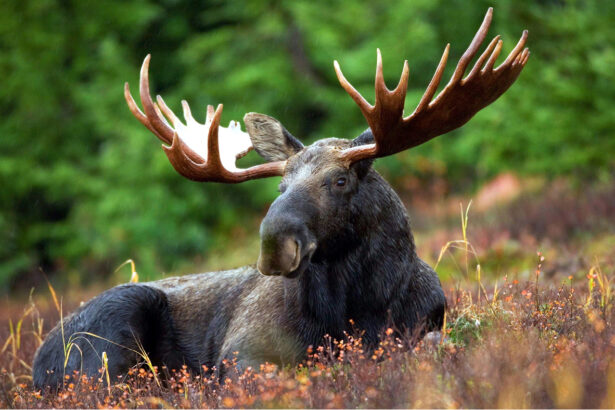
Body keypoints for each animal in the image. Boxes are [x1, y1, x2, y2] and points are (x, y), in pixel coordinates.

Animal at [32, 8, 528, 390]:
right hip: (112, 329)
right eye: (280, 186)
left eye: (340, 180)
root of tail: (36, 364)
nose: (274, 244)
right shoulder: (241, 352)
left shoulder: (425, 326)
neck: (358, 308)